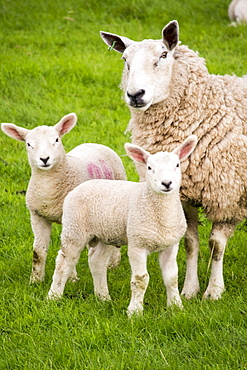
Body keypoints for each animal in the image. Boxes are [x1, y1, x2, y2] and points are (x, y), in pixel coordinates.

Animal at [0, 112, 126, 284]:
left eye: (56, 140)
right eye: (29, 144)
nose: (44, 159)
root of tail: (95, 143)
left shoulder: (70, 220)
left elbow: (68, 252)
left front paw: (71, 278)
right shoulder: (37, 217)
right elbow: (38, 251)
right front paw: (36, 280)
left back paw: (113, 263)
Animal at [47, 135, 198, 316]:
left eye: (177, 165)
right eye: (149, 167)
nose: (166, 183)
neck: (161, 214)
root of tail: (81, 186)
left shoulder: (170, 244)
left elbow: (172, 278)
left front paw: (176, 306)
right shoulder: (137, 244)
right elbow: (141, 279)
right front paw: (135, 312)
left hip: (106, 234)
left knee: (96, 261)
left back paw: (103, 297)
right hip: (74, 228)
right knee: (64, 262)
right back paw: (54, 296)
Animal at [99, 19, 247, 300]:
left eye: (163, 56)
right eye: (125, 60)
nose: (135, 94)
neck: (208, 111)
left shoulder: (227, 195)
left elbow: (216, 245)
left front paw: (214, 291)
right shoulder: (181, 195)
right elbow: (190, 242)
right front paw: (189, 290)